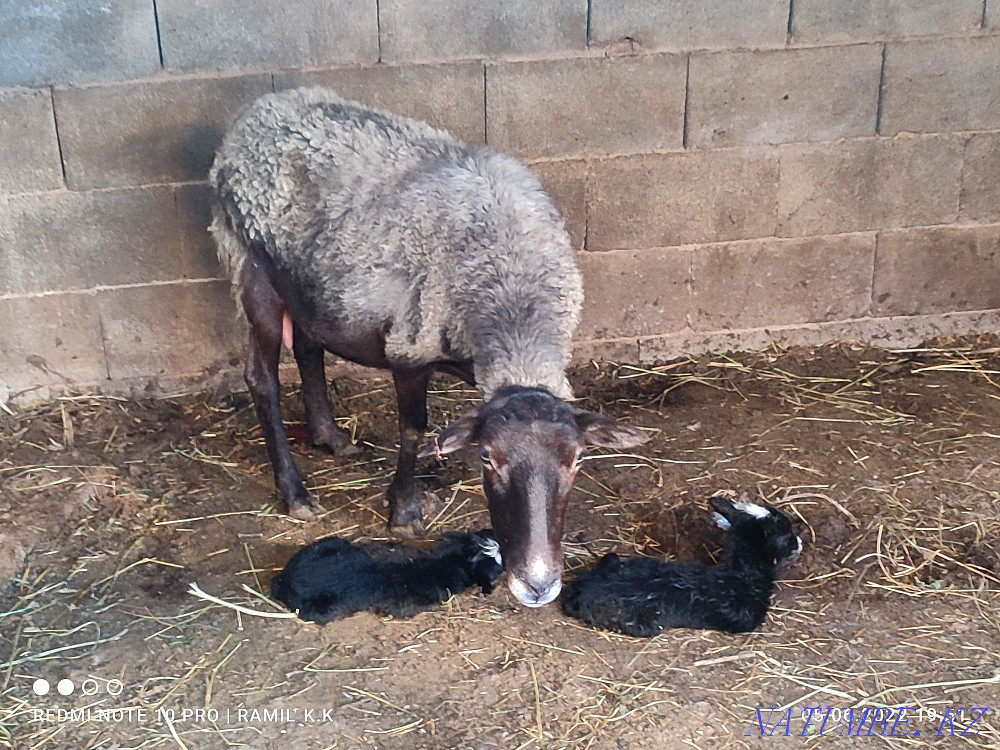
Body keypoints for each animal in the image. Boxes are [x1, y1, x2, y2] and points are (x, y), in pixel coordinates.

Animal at [210, 87, 648, 607]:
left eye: (578, 459)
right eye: (487, 458)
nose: (538, 584)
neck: (511, 287)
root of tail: (260, 107)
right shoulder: (410, 349)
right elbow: (414, 429)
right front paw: (403, 512)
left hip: (312, 282)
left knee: (310, 348)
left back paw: (330, 437)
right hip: (252, 268)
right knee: (261, 378)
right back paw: (296, 493)